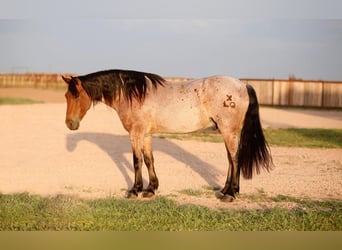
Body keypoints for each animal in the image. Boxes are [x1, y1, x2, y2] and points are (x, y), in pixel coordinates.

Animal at [62, 69, 272, 202]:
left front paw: (134, 190)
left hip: (229, 131)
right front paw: (151, 189)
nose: (70, 124)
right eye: (66, 96)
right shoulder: (146, 135)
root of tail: (242, 85)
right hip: (227, 132)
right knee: (230, 160)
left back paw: (230, 194)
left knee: (235, 159)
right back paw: (224, 191)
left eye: (75, 95)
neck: (133, 94)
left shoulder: (136, 133)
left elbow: (136, 161)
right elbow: (149, 160)